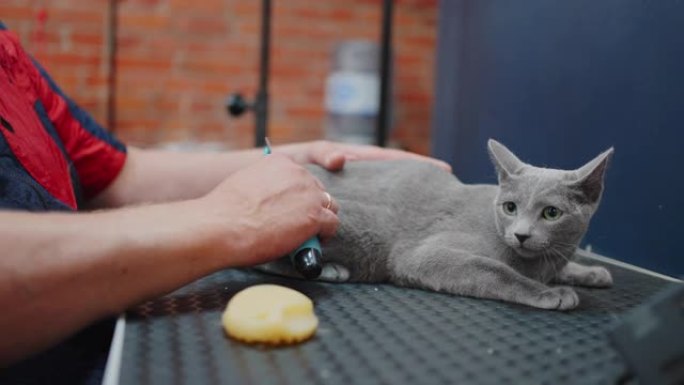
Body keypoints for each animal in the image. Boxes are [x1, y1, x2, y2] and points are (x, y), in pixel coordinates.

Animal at [262, 139, 616, 308]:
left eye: (551, 213)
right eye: (510, 207)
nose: (521, 235)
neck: (538, 264)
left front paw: (590, 272)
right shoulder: (424, 255)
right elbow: (496, 270)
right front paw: (550, 293)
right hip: (355, 224)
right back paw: (332, 270)